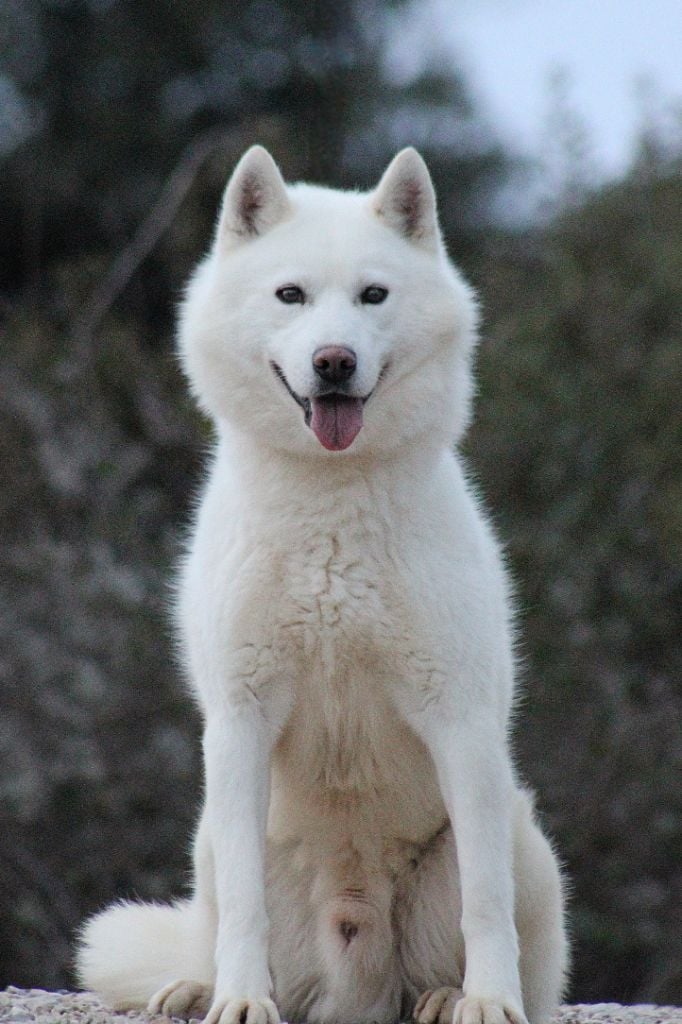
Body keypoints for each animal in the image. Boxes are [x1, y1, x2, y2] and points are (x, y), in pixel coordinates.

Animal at [74, 144, 565, 1024]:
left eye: (373, 295)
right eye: (291, 295)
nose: (334, 362)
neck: (330, 521)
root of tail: (354, 983)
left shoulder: (462, 724)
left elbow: (486, 903)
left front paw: (490, 1001)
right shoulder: (240, 721)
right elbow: (242, 910)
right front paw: (240, 1000)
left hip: (521, 833)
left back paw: (446, 996)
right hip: (210, 833)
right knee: (212, 919)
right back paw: (195, 988)